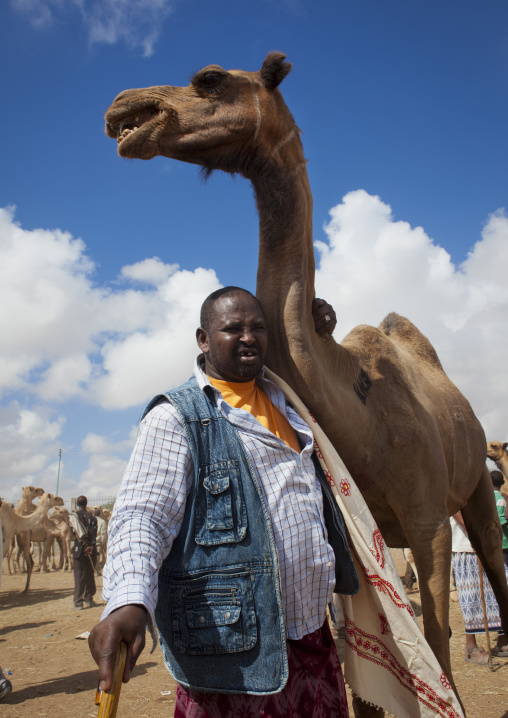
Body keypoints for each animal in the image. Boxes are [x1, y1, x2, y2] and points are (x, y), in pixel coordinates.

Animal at [104, 53, 508, 711]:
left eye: (210, 78)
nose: (124, 109)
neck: (362, 412)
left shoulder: (428, 521)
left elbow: (435, 642)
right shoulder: (355, 531)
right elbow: (362, 669)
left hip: (476, 483)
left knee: (495, 563)